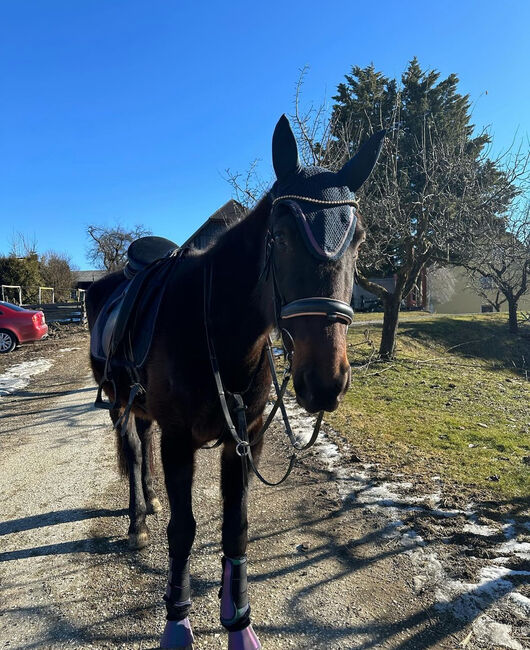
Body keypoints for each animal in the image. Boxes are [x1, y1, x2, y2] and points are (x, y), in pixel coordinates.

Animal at [87, 116, 384, 648]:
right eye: (280, 236)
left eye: (359, 240)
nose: (325, 382)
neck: (217, 331)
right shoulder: (179, 440)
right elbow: (184, 530)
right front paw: (177, 623)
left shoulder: (245, 439)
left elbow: (236, 528)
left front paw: (240, 623)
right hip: (120, 403)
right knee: (135, 450)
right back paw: (137, 520)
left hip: (143, 408)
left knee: (141, 443)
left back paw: (151, 499)